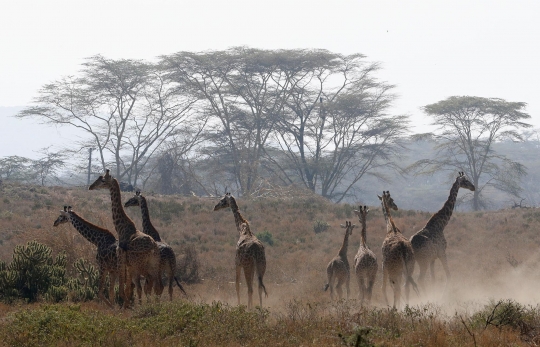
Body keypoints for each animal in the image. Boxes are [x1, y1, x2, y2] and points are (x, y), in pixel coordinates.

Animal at [88, 170, 160, 308]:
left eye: (103, 180)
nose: (91, 186)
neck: (121, 228)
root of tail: (154, 246)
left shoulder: (121, 259)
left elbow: (123, 289)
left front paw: (125, 306)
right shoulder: (128, 264)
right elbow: (127, 288)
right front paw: (127, 305)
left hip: (140, 264)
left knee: (150, 281)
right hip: (149, 264)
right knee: (153, 282)